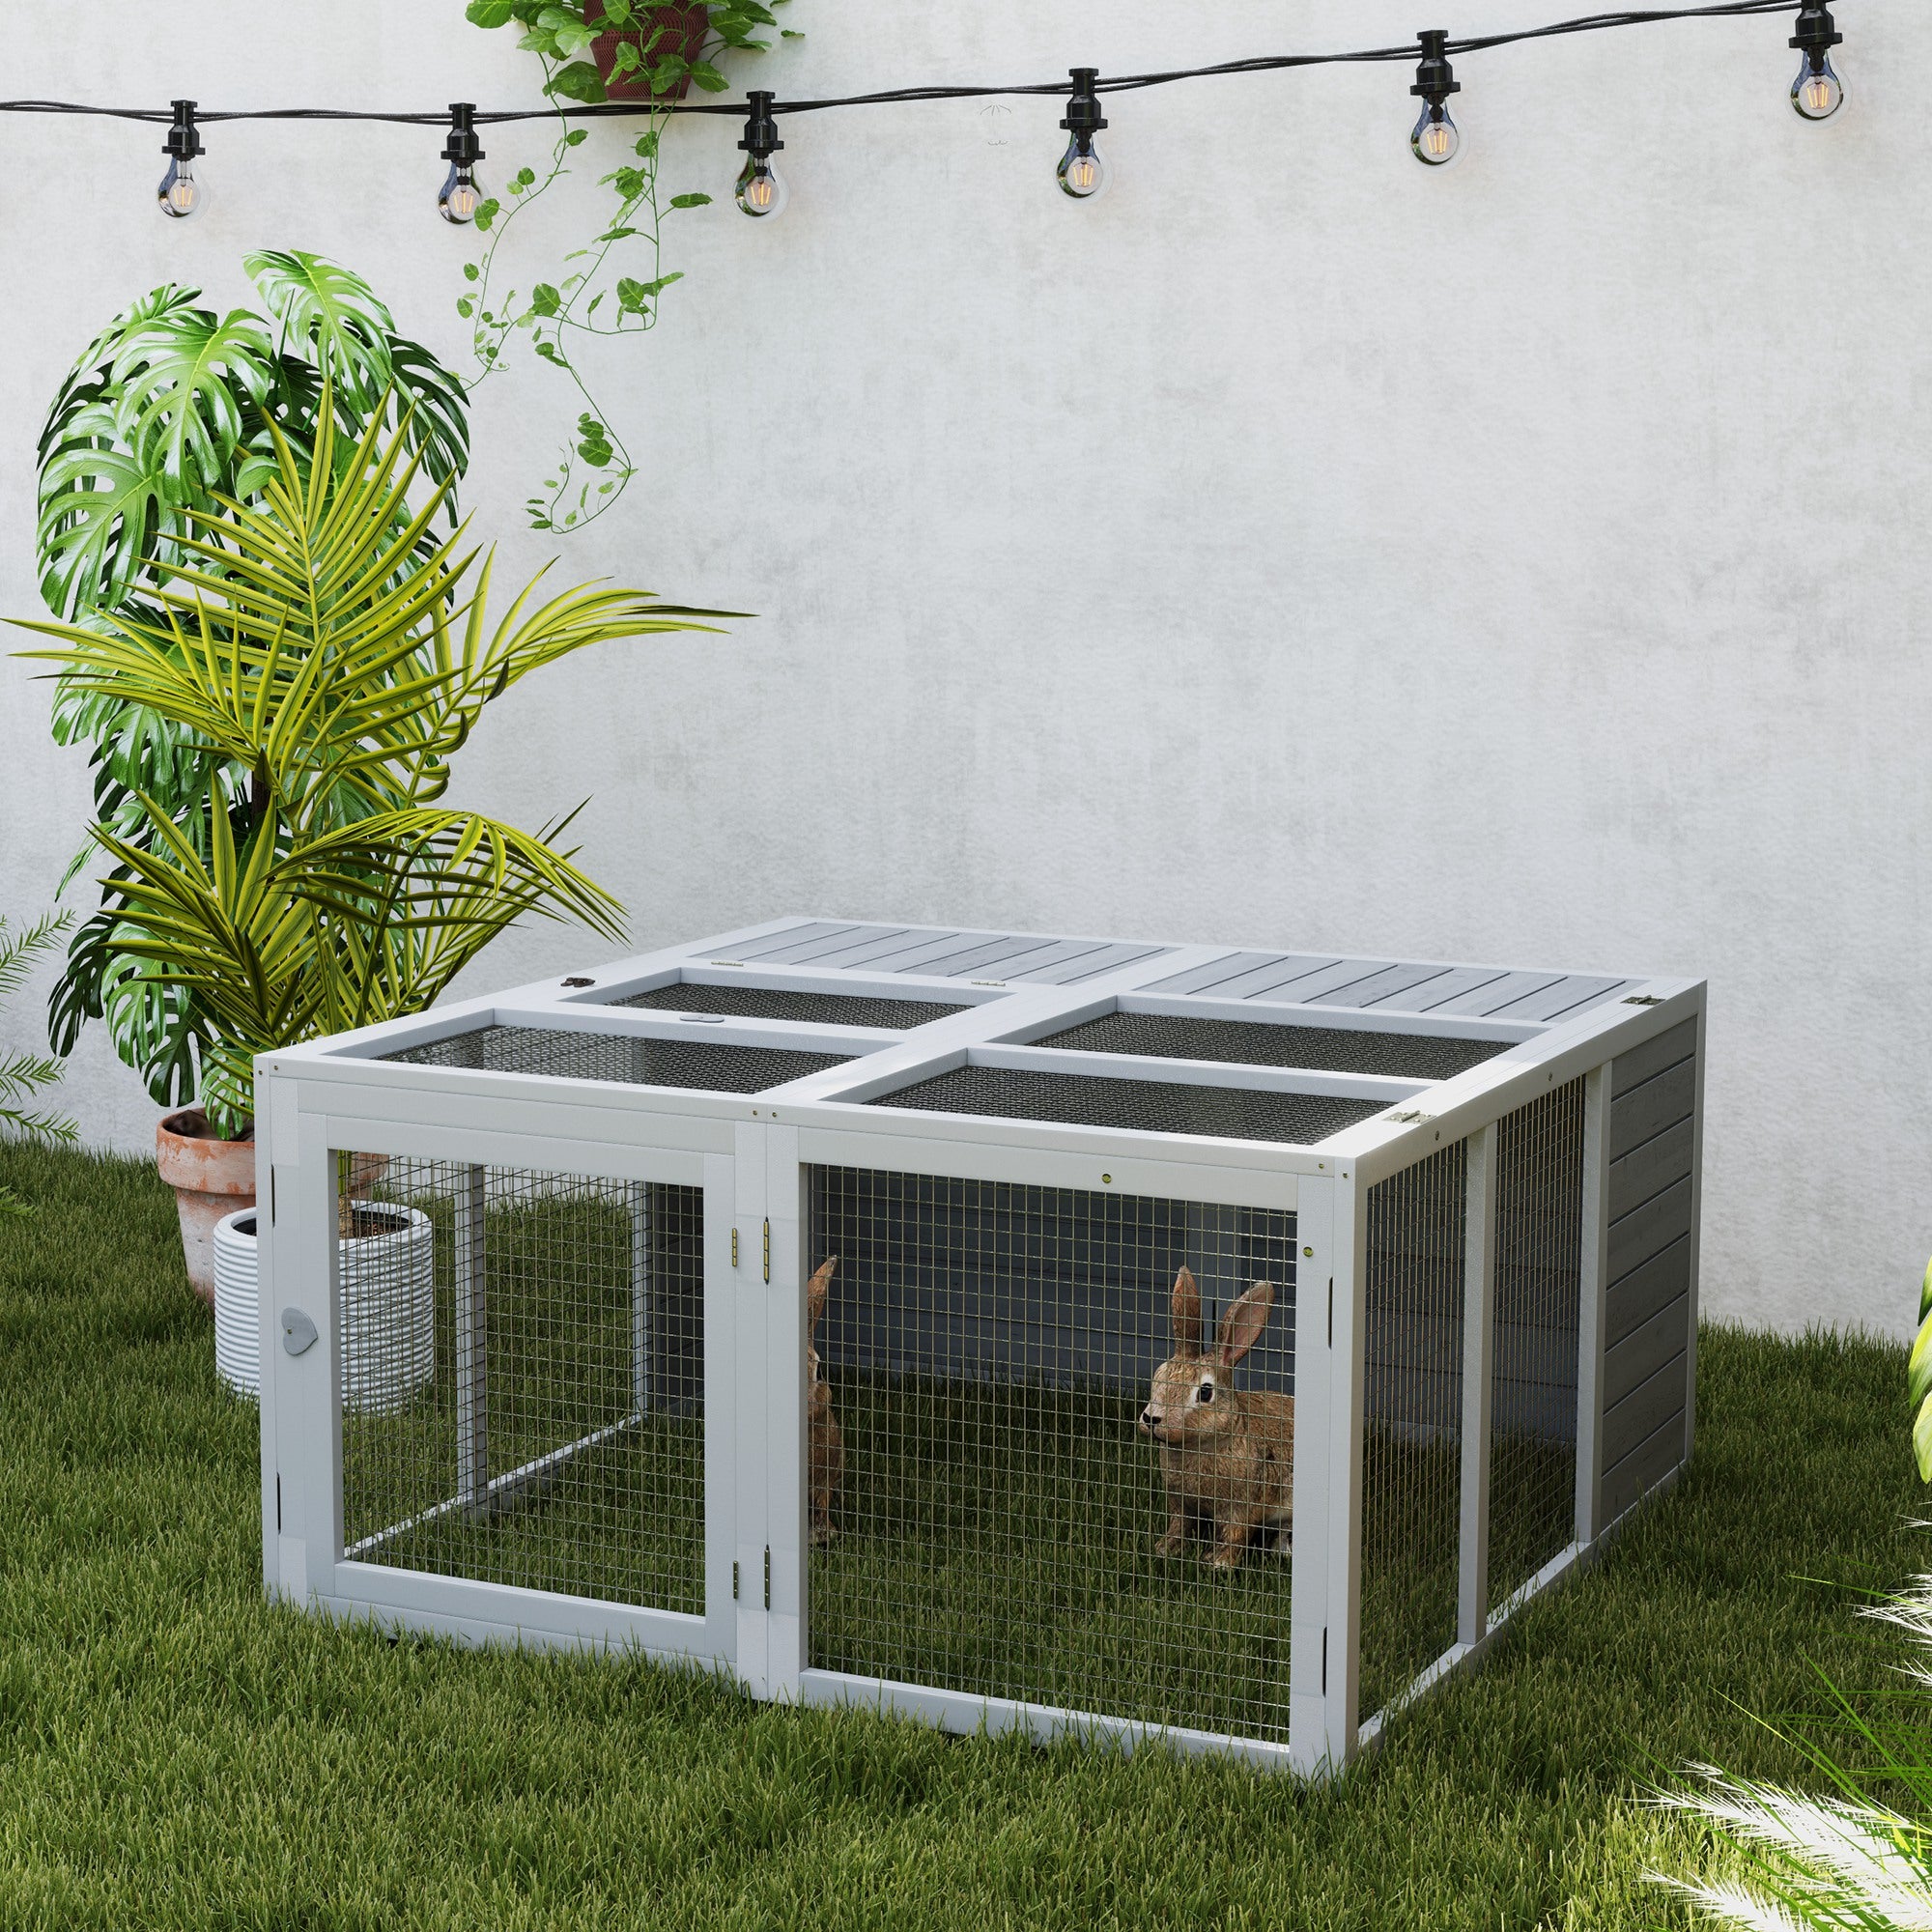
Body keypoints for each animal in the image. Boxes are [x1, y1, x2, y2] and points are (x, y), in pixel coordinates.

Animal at [1128, 1267, 1298, 1569]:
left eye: (1205, 1392)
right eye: (1158, 1376)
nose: (1151, 1418)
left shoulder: (1241, 1508)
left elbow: (1235, 1537)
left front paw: (1217, 1564)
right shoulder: (1181, 1503)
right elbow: (1179, 1526)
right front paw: (1164, 1549)